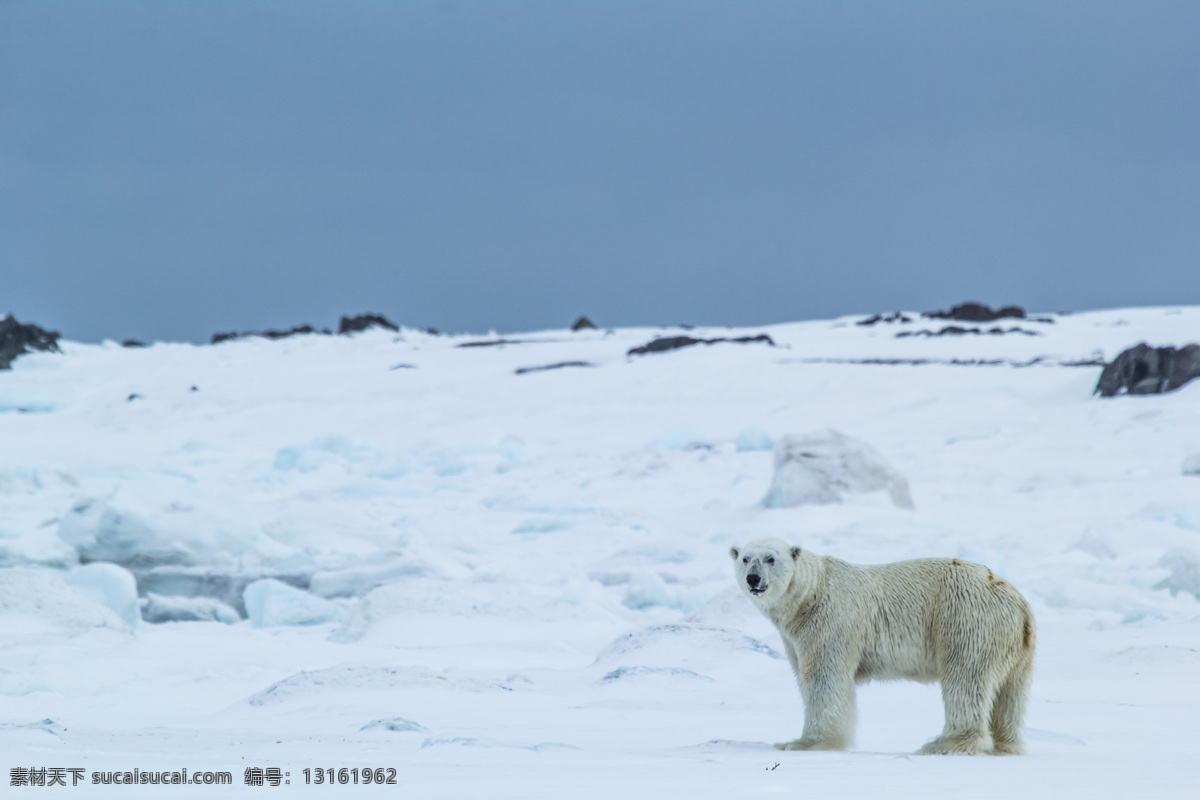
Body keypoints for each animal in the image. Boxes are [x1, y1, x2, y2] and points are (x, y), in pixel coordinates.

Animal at [729, 537, 1032, 758]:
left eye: (770, 558)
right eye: (745, 558)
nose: (753, 578)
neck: (811, 594)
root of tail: (1016, 600)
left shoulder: (830, 622)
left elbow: (824, 679)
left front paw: (803, 743)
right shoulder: (795, 637)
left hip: (965, 619)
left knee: (965, 678)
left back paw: (943, 744)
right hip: (1015, 646)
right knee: (1009, 693)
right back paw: (1005, 745)